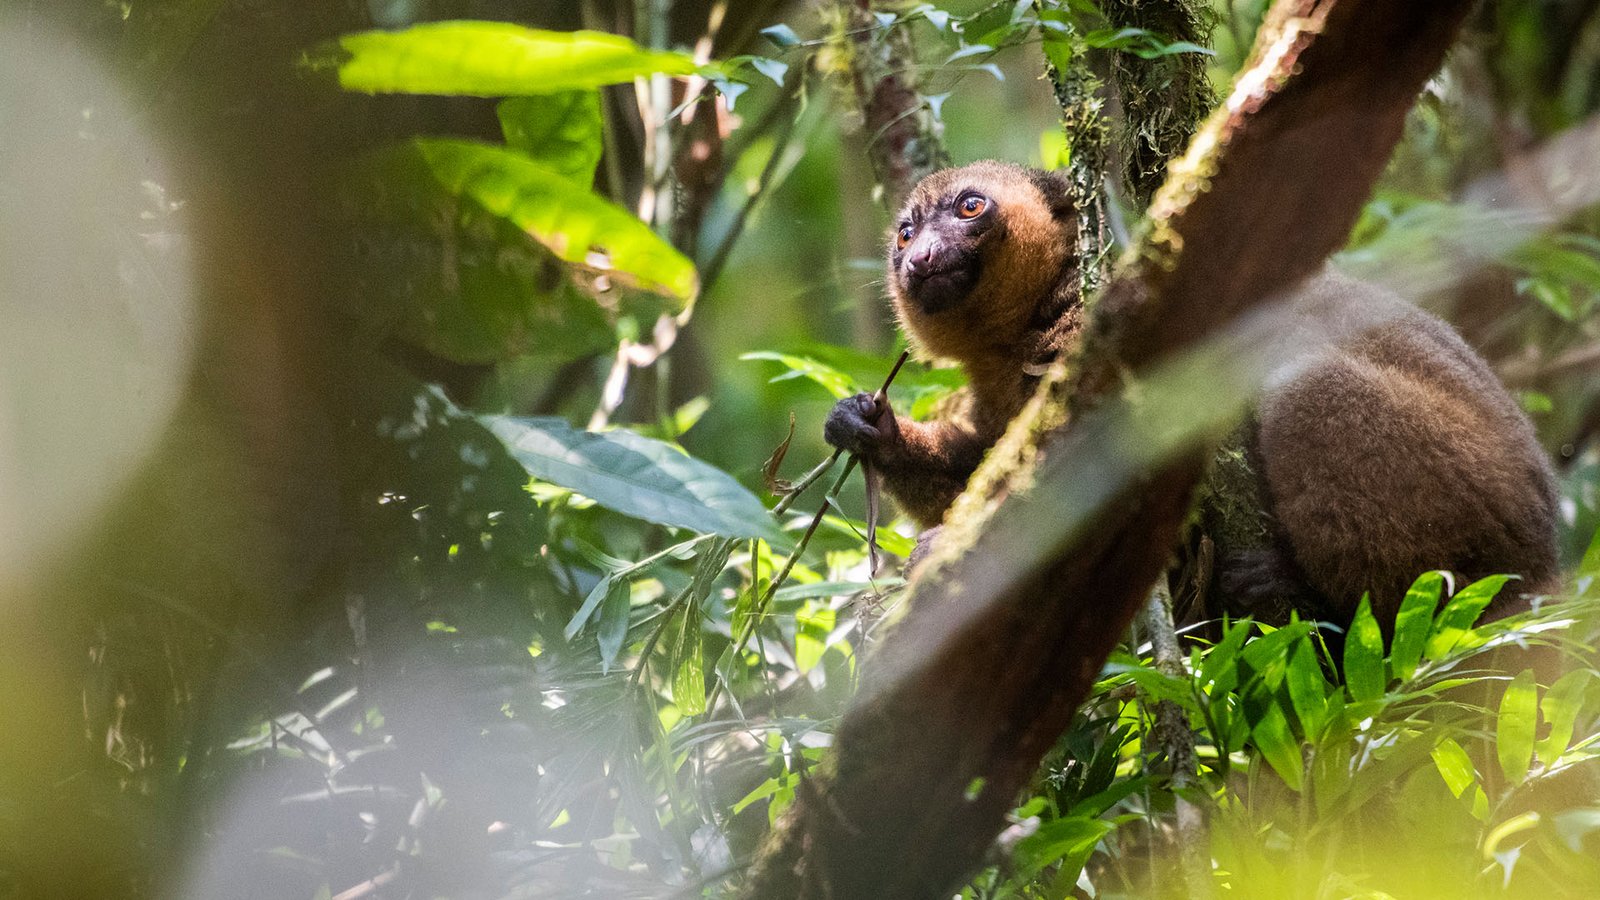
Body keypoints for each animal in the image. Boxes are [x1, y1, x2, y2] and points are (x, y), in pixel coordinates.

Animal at [824, 160, 1561, 628]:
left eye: (970, 207)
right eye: (906, 233)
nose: (919, 259)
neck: (1025, 325)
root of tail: (1544, 558)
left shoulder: (1096, 324)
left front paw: (942, 559)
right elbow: (982, 456)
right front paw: (870, 430)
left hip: (1480, 505)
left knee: (1304, 386)